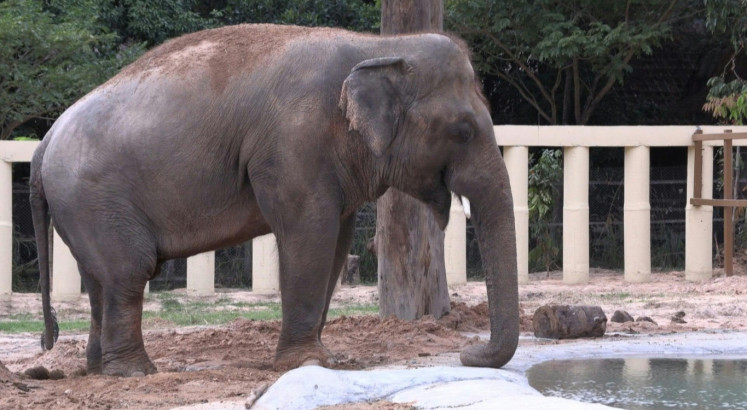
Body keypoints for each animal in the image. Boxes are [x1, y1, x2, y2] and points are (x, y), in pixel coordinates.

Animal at [30, 24, 518, 377]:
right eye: (463, 131)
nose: (468, 352)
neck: (379, 46)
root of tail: (44, 141)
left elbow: (335, 245)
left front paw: (321, 358)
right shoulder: (294, 143)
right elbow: (309, 234)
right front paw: (307, 363)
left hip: (84, 207)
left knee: (101, 280)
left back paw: (99, 370)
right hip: (95, 198)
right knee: (129, 273)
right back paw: (135, 373)